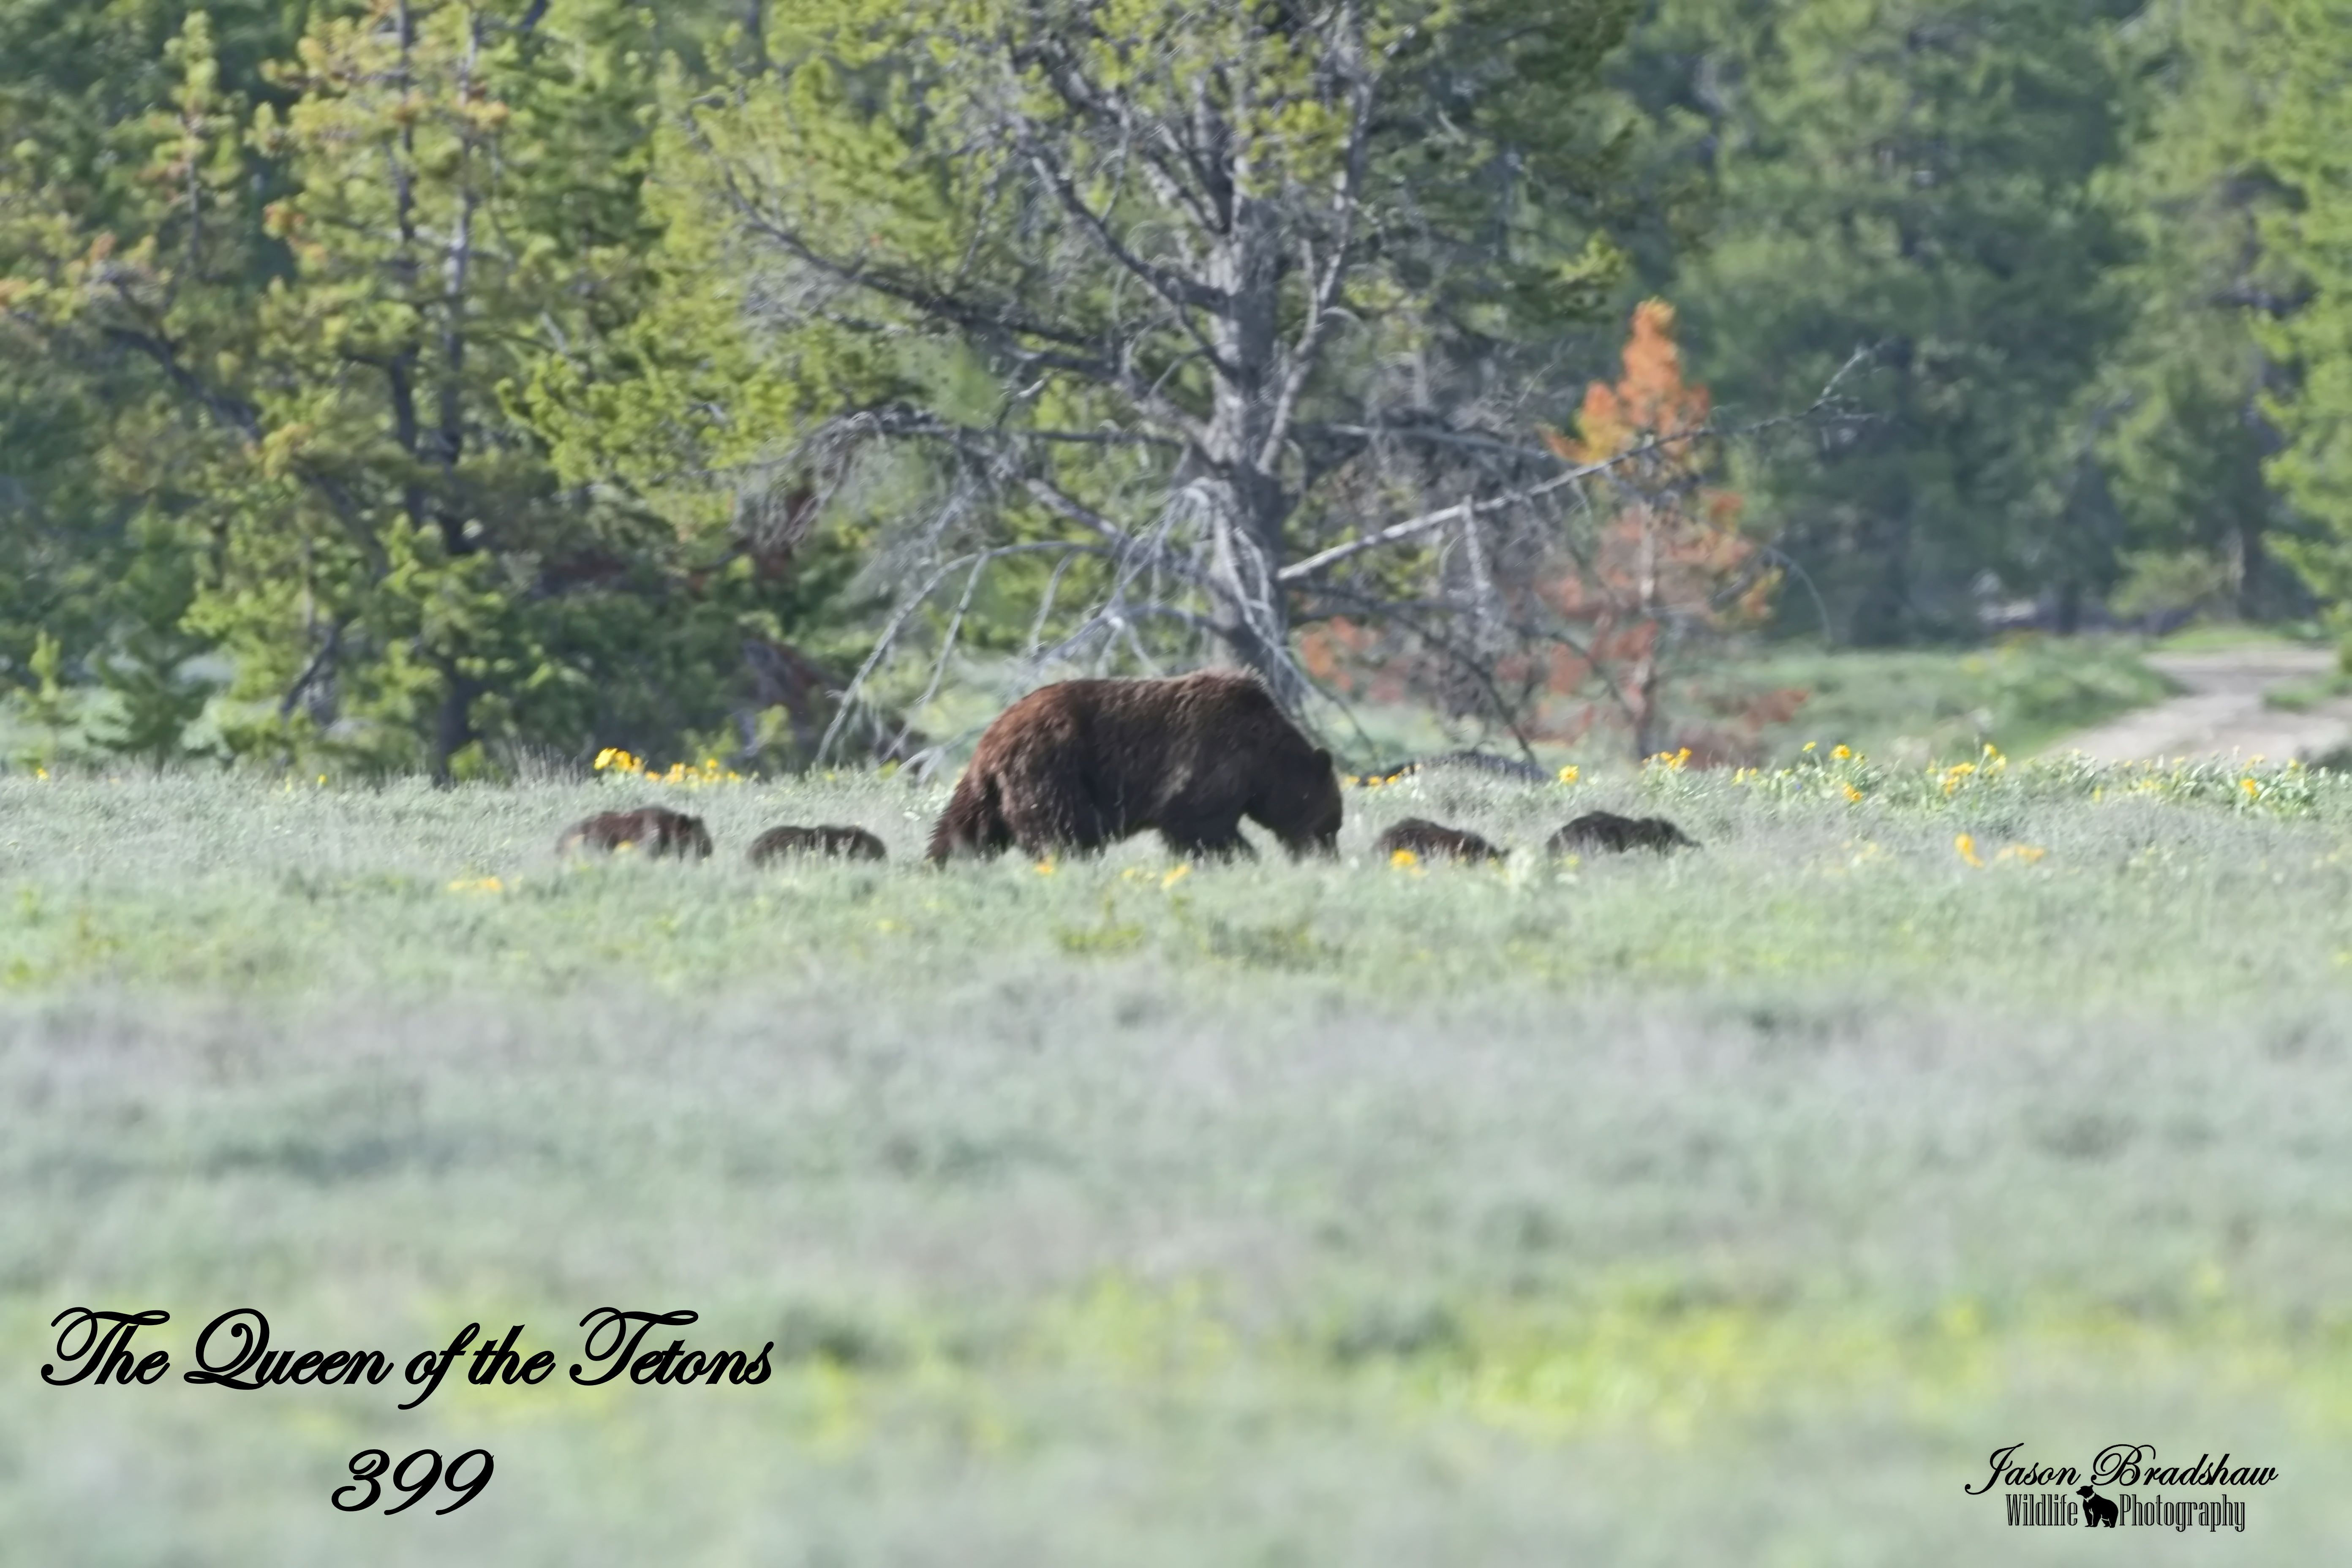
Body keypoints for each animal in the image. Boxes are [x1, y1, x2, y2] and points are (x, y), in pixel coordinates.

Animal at [927, 671, 1342, 863]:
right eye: (1331, 824)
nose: (1329, 858)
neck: (1264, 762)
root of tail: (993, 738)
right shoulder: (1210, 761)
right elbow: (1199, 824)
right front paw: (1239, 857)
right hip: (1051, 769)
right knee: (1060, 830)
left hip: (993, 789)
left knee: (965, 827)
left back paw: (941, 861)